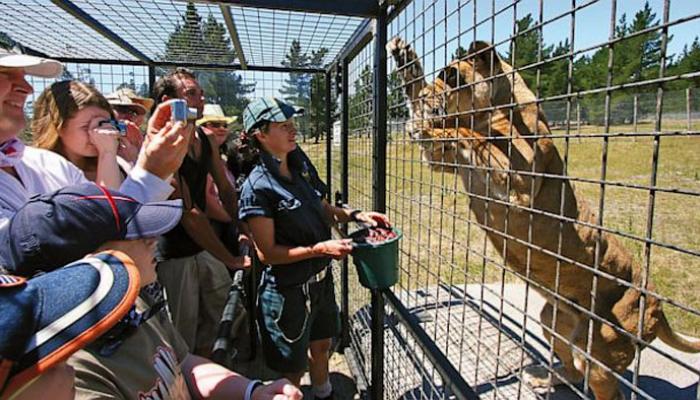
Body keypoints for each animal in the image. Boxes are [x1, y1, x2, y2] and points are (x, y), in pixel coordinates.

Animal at [386, 36, 696, 398]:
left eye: (450, 76)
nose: (428, 99)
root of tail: (658, 302)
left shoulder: (519, 186)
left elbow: (466, 133)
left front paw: (426, 122)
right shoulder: (443, 162)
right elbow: (441, 117)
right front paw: (405, 61)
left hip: (599, 352)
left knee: (603, 384)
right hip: (553, 320)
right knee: (572, 371)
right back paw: (543, 379)